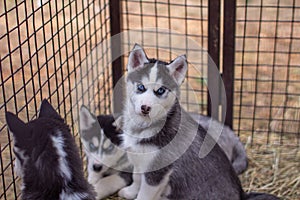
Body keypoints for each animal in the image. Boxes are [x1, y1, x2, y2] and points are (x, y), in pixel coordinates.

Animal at [118, 45, 278, 200]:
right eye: (140, 87)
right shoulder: (139, 159)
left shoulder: (158, 172)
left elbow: (145, 194)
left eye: (161, 90)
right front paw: (129, 192)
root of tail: (242, 194)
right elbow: (136, 178)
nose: (145, 108)